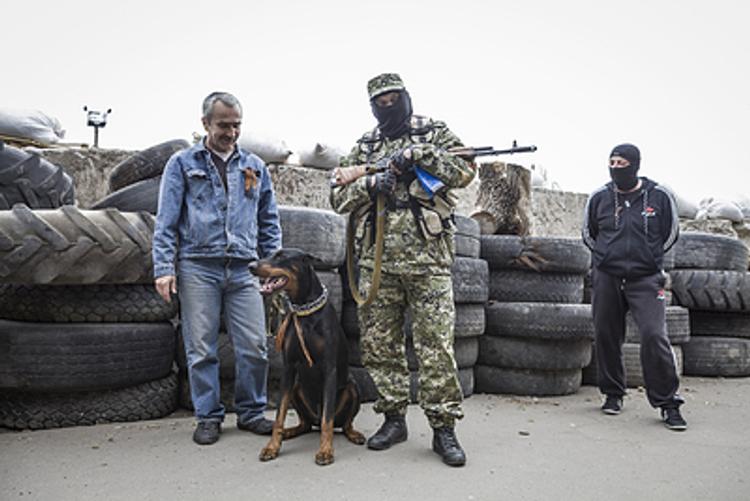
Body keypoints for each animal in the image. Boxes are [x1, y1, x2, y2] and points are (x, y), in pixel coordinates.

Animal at [254, 249, 366, 464]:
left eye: (281, 257)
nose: (251, 266)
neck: (304, 310)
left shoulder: (329, 368)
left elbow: (327, 419)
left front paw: (325, 451)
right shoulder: (288, 368)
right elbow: (279, 415)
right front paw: (272, 447)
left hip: (353, 387)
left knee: (341, 424)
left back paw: (354, 434)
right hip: (297, 388)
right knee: (305, 424)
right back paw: (289, 432)